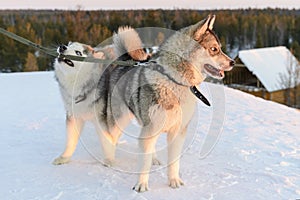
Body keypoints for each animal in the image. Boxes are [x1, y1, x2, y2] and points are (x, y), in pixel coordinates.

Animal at [53, 15, 234, 192]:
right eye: (214, 49)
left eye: (219, 48)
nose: (232, 62)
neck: (173, 81)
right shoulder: (151, 127)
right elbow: (144, 163)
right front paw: (141, 185)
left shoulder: (177, 131)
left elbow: (174, 161)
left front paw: (174, 181)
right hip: (121, 119)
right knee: (112, 137)